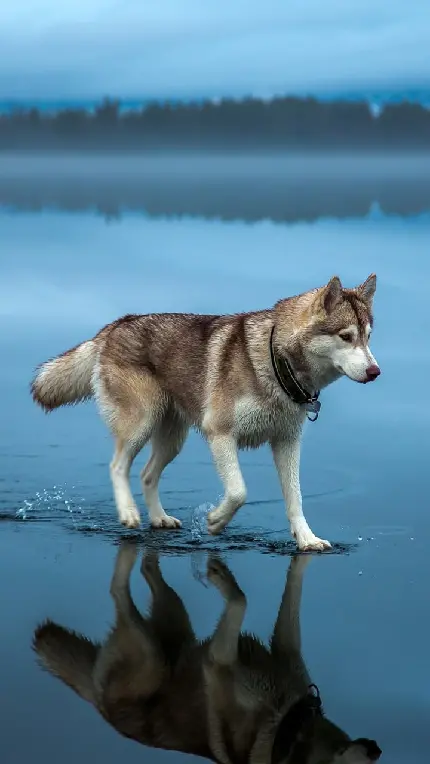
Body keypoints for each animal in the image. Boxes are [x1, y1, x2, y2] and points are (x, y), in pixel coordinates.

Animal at [31, 274, 380, 548]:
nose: (376, 372)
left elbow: (295, 498)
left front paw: (307, 540)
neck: (276, 362)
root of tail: (117, 324)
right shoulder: (220, 434)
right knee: (118, 466)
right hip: (140, 424)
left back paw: (159, 519)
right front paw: (215, 520)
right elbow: (239, 491)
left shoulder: (287, 443)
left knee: (146, 475)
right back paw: (129, 513)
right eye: (346, 336)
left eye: (368, 337)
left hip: (173, 439)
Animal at [34, 548, 382, 760]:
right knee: (118, 590)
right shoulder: (219, 660)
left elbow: (292, 591)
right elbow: (240, 600)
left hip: (174, 620)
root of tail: (98, 705)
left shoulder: (286, 649)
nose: (377, 750)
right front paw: (220, 577)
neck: (289, 725)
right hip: (151, 657)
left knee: (149, 570)